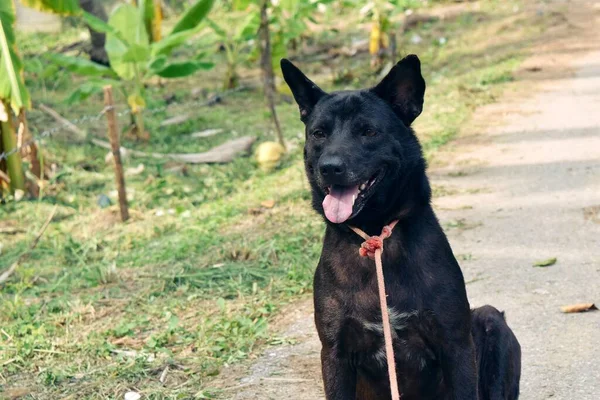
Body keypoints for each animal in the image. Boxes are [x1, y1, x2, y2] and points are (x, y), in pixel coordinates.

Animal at [282, 54, 520, 400]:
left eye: (368, 131)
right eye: (318, 134)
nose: (329, 168)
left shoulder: (456, 346)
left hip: (491, 322)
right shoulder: (334, 354)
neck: (375, 234)